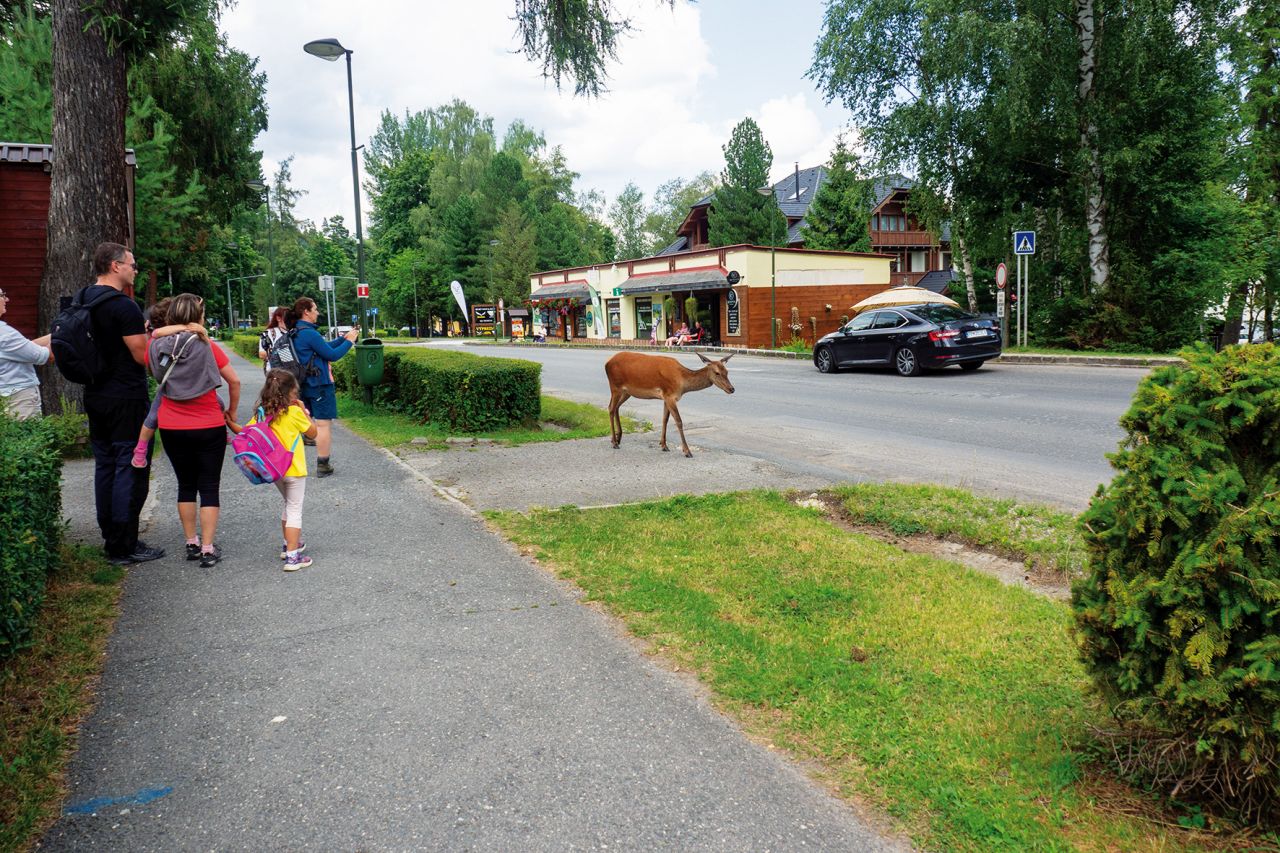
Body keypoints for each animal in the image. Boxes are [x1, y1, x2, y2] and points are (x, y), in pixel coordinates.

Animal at [604, 348, 737, 455]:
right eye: (717, 373)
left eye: (727, 372)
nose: (731, 389)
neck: (682, 382)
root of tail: (607, 363)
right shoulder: (670, 396)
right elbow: (679, 421)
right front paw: (687, 451)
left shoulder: (666, 398)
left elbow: (665, 419)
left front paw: (664, 445)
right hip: (615, 386)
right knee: (610, 408)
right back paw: (614, 442)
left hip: (627, 392)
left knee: (616, 407)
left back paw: (617, 438)